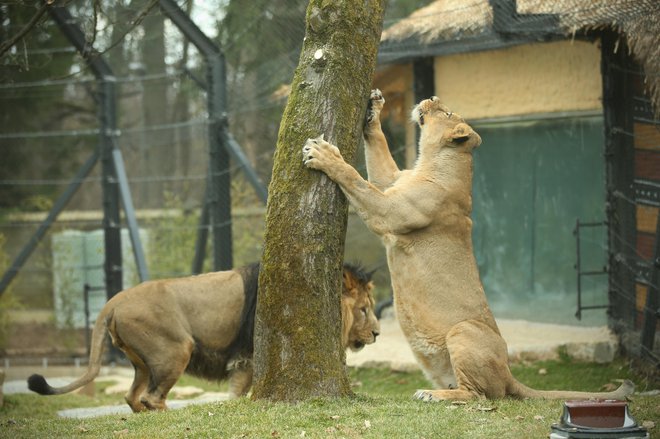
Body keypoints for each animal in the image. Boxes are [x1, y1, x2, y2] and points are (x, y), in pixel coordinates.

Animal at [28, 264, 378, 412]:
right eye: (363, 309)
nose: (376, 332)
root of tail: (113, 300)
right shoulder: (248, 358)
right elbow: (238, 395)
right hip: (176, 350)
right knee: (151, 397)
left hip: (143, 362)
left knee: (131, 397)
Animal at [304, 90, 636, 402]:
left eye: (447, 112)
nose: (433, 96)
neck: (432, 162)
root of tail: (508, 373)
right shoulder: (391, 181)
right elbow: (379, 152)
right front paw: (374, 108)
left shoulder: (389, 212)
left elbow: (356, 179)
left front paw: (323, 155)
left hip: (463, 330)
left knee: (479, 395)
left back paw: (433, 396)